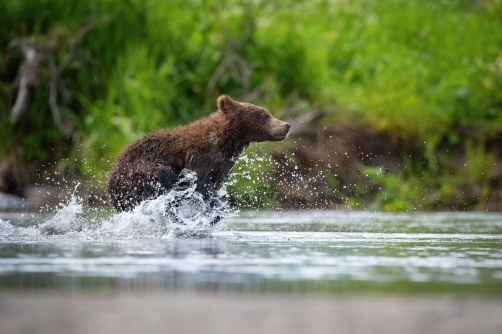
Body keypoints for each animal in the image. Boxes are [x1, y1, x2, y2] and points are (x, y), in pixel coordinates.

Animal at [108, 94, 292, 214]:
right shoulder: (202, 158)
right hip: (139, 170)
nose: (287, 125)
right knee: (164, 176)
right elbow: (200, 185)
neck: (226, 141)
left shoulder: (223, 166)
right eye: (265, 115)